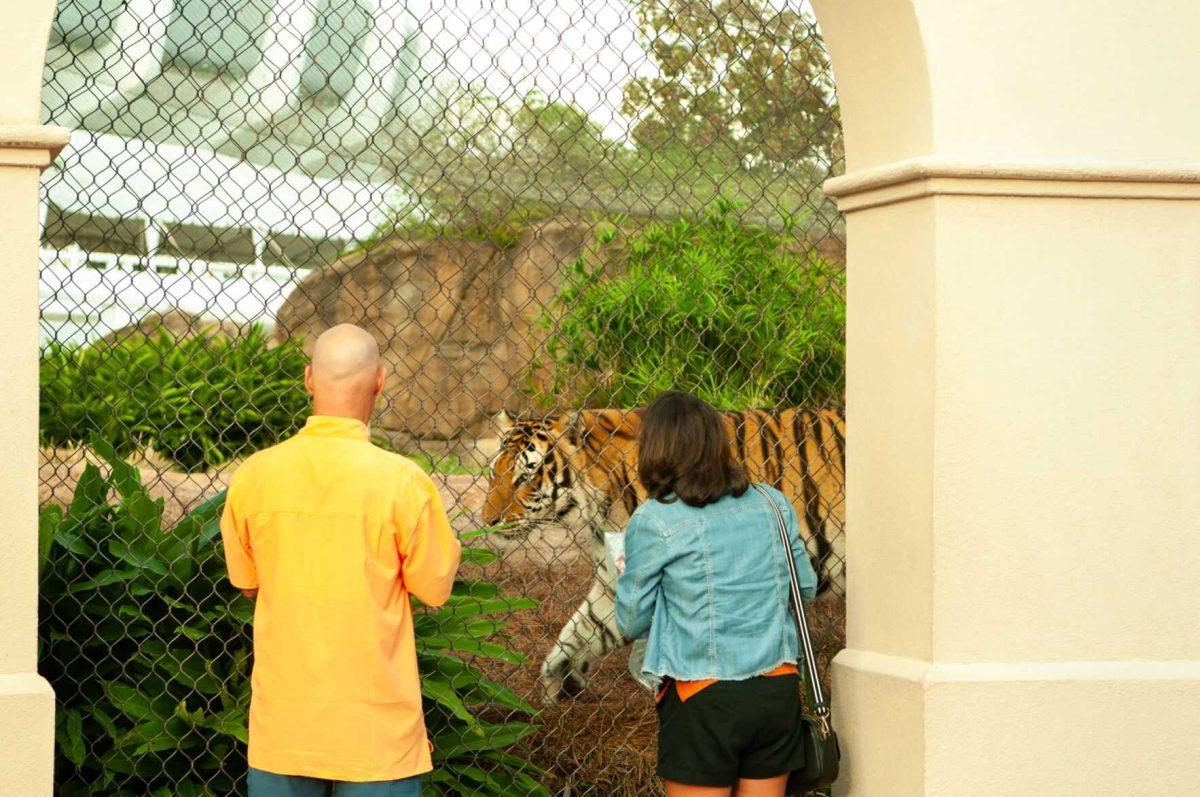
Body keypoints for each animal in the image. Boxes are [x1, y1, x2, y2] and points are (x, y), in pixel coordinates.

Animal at [480, 408, 844, 700]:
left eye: (524, 478)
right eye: (494, 473)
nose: (487, 521)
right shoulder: (614, 584)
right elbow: (580, 631)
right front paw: (559, 680)